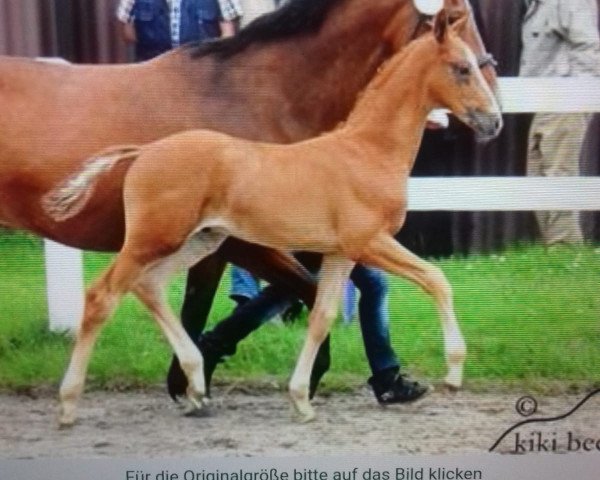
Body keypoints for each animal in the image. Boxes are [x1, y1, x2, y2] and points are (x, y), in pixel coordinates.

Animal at [0, 0, 496, 394]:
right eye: (457, 18)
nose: (494, 115)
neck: (259, 92)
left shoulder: (295, 236)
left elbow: (326, 290)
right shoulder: (244, 241)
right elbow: (245, 297)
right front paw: (194, 379)